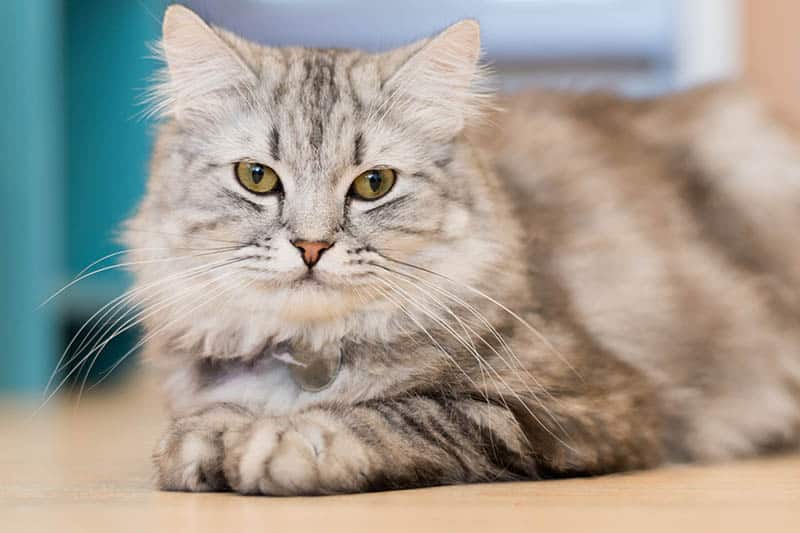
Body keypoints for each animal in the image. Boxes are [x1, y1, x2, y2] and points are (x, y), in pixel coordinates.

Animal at [123, 5, 800, 494]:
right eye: (257, 177)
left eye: (374, 184)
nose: (311, 246)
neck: (313, 359)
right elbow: (206, 422)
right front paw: (207, 438)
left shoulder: (583, 404)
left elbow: (404, 412)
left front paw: (279, 443)